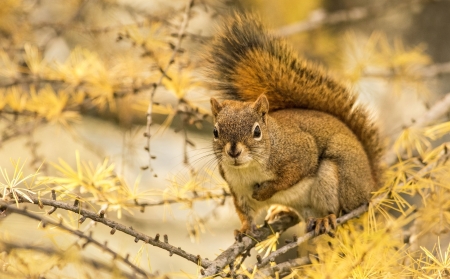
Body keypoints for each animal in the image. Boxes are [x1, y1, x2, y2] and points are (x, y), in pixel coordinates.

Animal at [204, 13, 384, 236]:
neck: (249, 168)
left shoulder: (299, 151)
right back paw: (282, 211)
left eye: (257, 131)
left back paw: (326, 218)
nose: (233, 151)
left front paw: (267, 190)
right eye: (215, 131)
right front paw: (245, 229)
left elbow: (292, 174)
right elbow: (245, 213)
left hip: (337, 179)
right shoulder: (238, 189)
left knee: (338, 208)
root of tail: (371, 184)